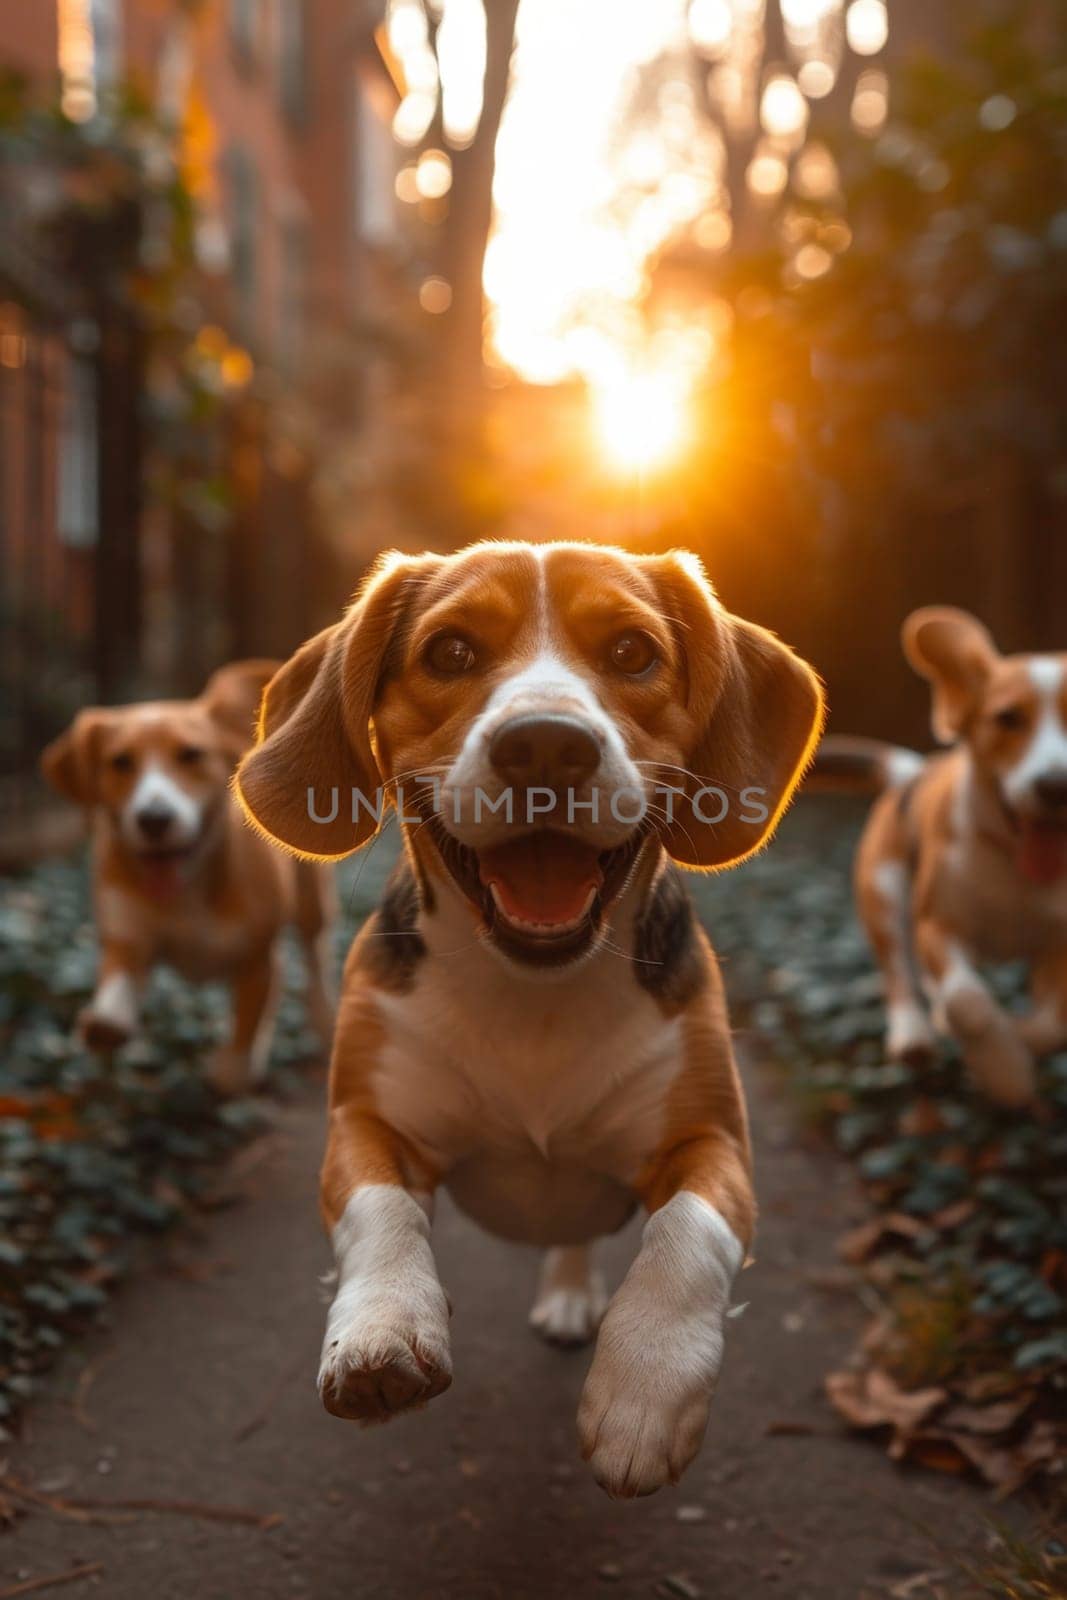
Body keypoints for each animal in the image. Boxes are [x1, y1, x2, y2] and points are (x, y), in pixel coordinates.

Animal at [42, 656, 334, 1094]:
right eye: (120, 762)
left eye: (191, 755)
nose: (154, 819)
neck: (187, 888)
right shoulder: (128, 935)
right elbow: (118, 978)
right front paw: (107, 1024)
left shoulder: (258, 954)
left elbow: (249, 1018)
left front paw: (236, 1066)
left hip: (312, 900)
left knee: (315, 954)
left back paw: (322, 1019)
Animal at [233, 540, 825, 1497]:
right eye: (450, 652)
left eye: (630, 652)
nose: (545, 743)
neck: (533, 995)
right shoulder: (364, 1123)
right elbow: (378, 1211)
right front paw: (382, 1327)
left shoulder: (713, 1144)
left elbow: (685, 1237)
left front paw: (644, 1390)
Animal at [819, 608, 1067, 1113]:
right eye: (1007, 718)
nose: (1056, 788)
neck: (1016, 868)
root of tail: (913, 773)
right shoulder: (938, 926)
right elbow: (967, 1004)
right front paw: (1004, 1071)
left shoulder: (1061, 947)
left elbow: (1052, 1026)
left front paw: (1018, 1042)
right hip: (884, 892)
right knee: (899, 971)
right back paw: (914, 1034)